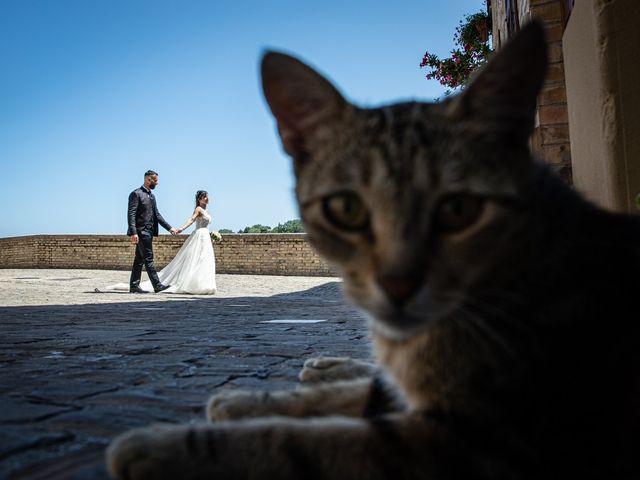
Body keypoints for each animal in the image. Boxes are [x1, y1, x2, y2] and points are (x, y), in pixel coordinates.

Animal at [106, 22, 640, 480]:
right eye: (346, 208)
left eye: (459, 209)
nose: (398, 284)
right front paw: (240, 403)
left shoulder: (473, 442)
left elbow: (300, 442)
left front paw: (165, 446)